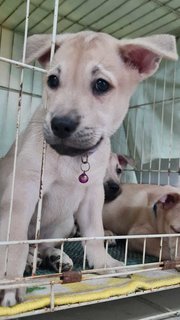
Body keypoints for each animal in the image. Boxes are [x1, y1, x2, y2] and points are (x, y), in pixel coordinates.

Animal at [0, 31, 177, 306]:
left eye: (101, 85)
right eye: (52, 80)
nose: (60, 124)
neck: (73, 159)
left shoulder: (93, 195)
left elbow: (94, 233)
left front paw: (104, 263)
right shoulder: (23, 190)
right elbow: (14, 240)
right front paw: (10, 281)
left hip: (63, 223)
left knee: (40, 245)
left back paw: (56, 258)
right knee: (27, 245)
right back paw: (31, 263)